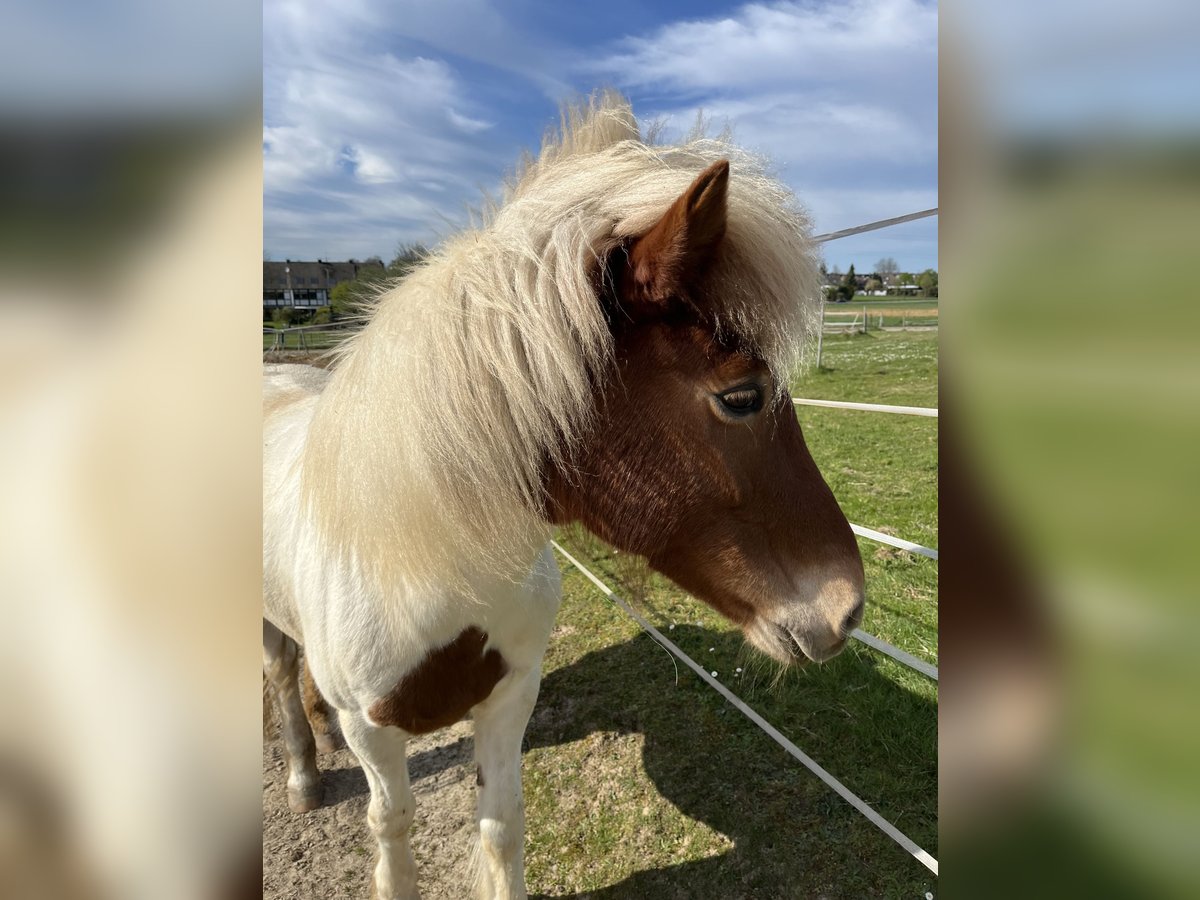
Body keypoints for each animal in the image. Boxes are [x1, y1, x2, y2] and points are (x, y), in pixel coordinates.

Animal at [262, 91, 865, 900]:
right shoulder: (375, 732)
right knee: (279, 673)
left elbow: (501, 827)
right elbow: (391, 833)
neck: (429, 570)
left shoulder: (511, 697)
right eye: (741, 396)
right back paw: (304, 773)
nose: (849, 607)